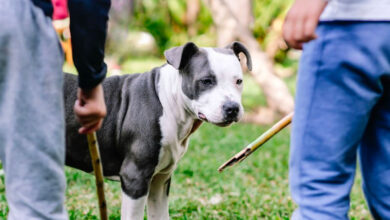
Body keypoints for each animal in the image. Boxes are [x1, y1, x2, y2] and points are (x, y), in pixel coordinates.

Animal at [64, 40, 253, 218]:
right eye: (206, 81)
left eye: (239, 81)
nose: (232, 108)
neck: (169, 103)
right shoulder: (135, 178)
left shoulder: (160, 180)